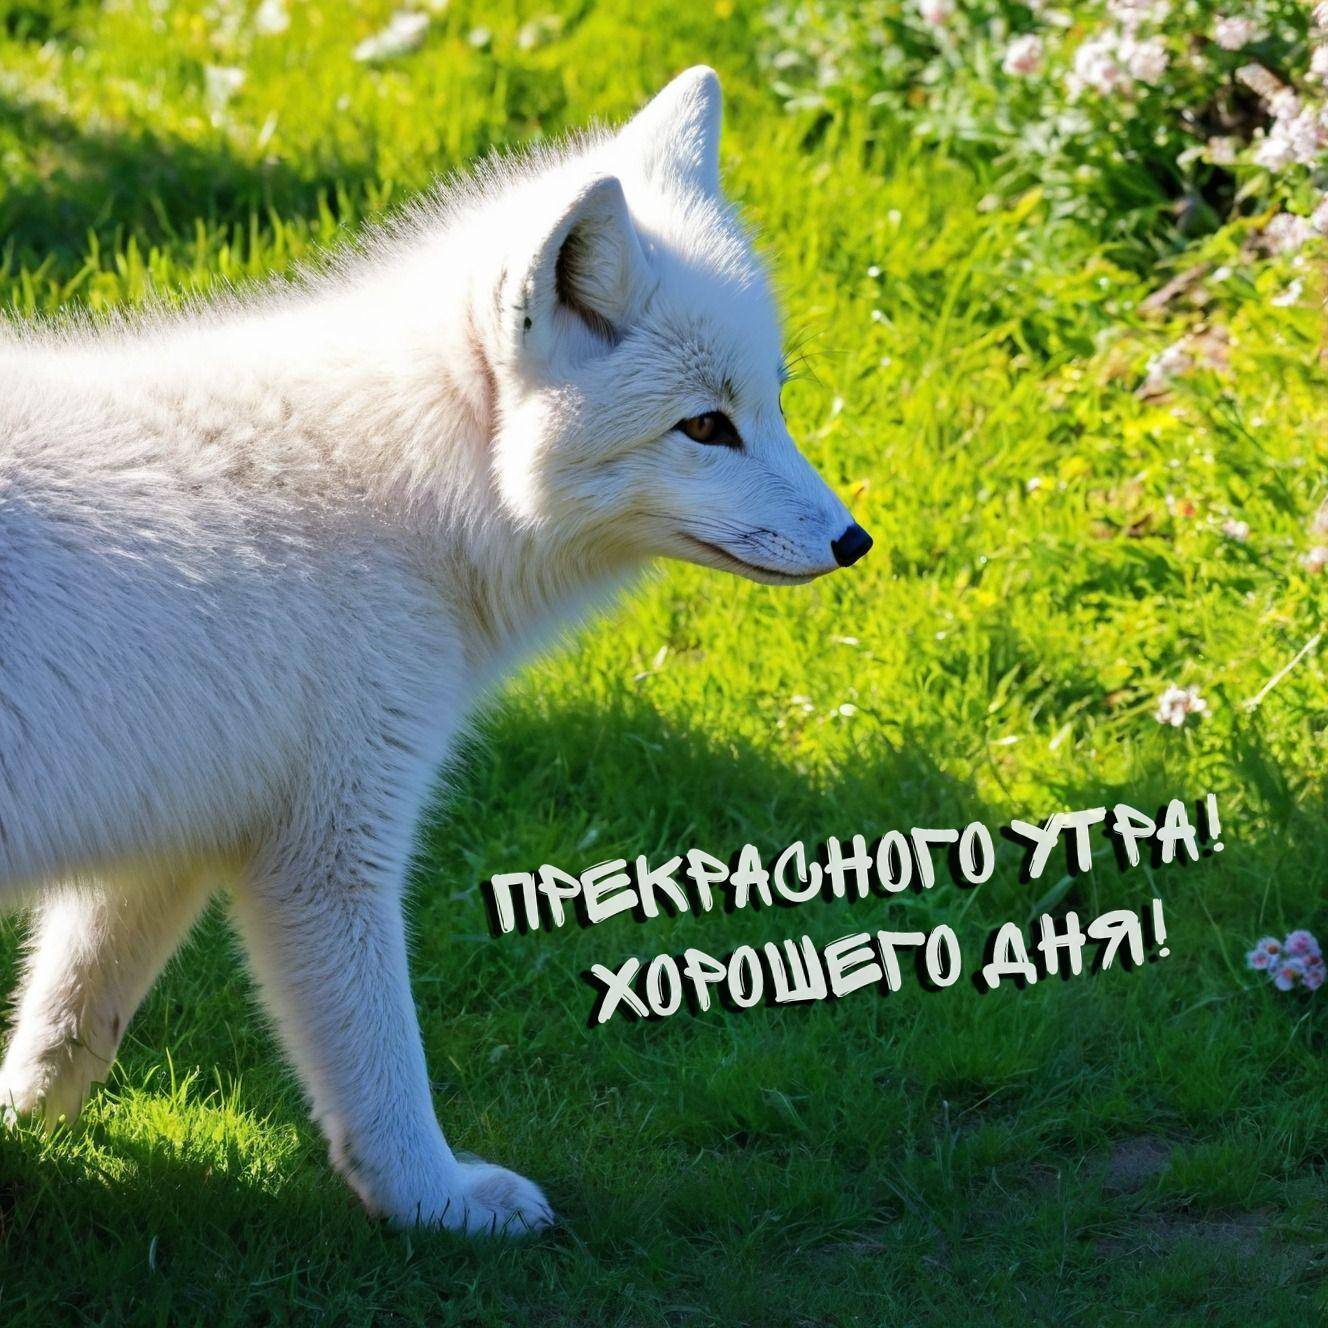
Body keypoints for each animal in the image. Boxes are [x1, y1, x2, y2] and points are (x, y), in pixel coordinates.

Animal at [0, 67, 871, 1235]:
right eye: (703, 428)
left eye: (770, 404)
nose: (853, 542)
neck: (412, 488)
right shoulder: (329, 848)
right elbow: (381, 1070)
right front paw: (435, 1200)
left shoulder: (183, 823)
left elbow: (69, 1013)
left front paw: (24, 1122)